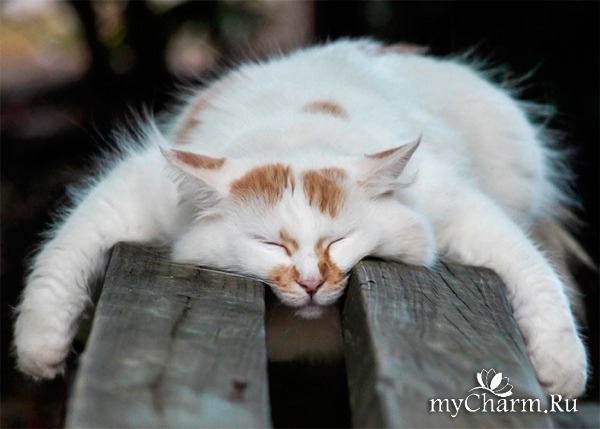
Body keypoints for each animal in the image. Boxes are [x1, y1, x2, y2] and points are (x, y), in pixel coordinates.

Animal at [13, 39, 589, 397]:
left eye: (339, 242)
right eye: (272, 245)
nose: (312, 282)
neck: (299, 127)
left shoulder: (456, 208)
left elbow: (533, 272)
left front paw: (563, 373)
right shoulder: (134, 193)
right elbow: (63, 255)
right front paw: (40, 353)